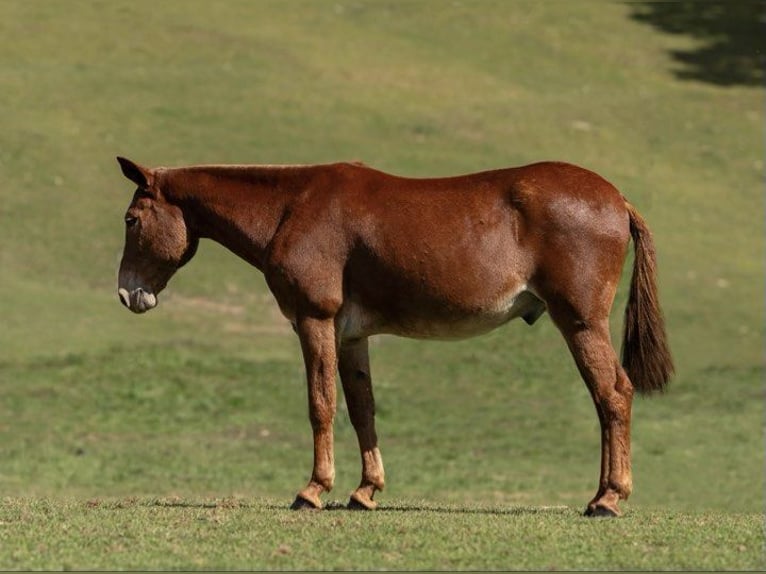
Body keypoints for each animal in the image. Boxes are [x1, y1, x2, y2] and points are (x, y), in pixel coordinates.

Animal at [115, 156, 673, 517]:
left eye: (131, 219)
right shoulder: (350, 336)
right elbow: (362, 407)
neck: (292, 208)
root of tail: (616, 199)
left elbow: (321, 403)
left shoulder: (314, 321)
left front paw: (313, 490)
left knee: (612, 395)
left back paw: (608, 499)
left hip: (580, 323)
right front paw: (365, 491)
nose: (127, 294)